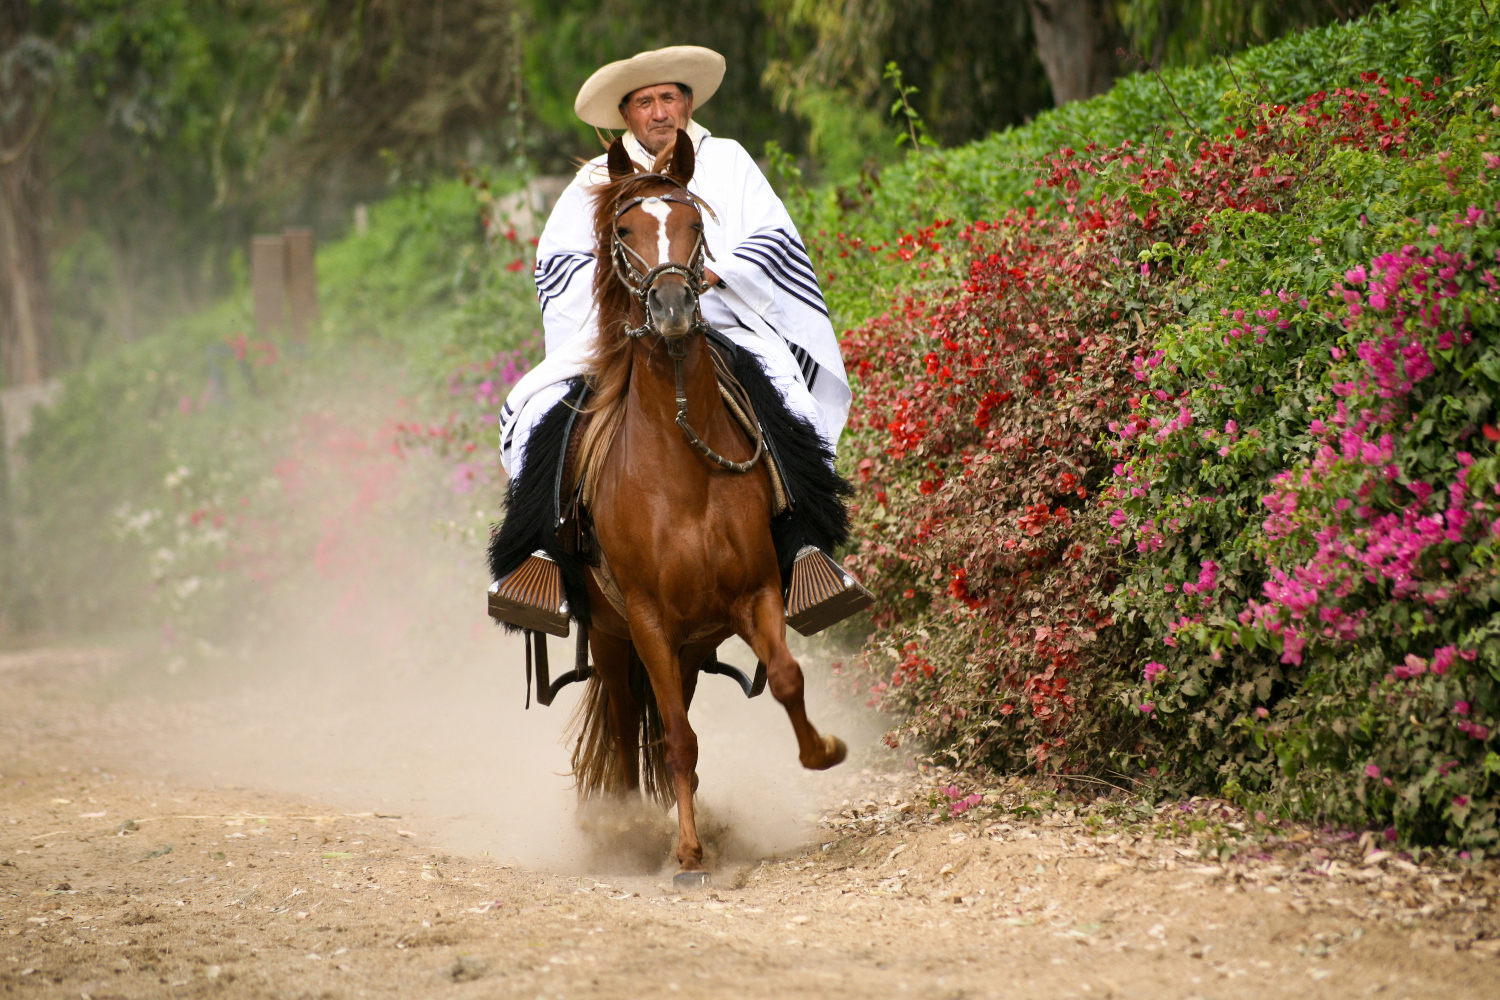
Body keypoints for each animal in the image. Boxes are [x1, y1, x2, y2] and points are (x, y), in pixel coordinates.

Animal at [565, 128, 848, 884]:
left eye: (693, 223)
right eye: (625, 230)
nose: (670, 307)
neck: (681, 474)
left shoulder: (752, 593)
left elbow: (785, 677)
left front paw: (824, 752)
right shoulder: (647, 620)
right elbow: (677, 740)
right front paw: (687, 854)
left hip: (692, 647)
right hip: (616, 640)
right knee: (635, 728)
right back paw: (628, 825)